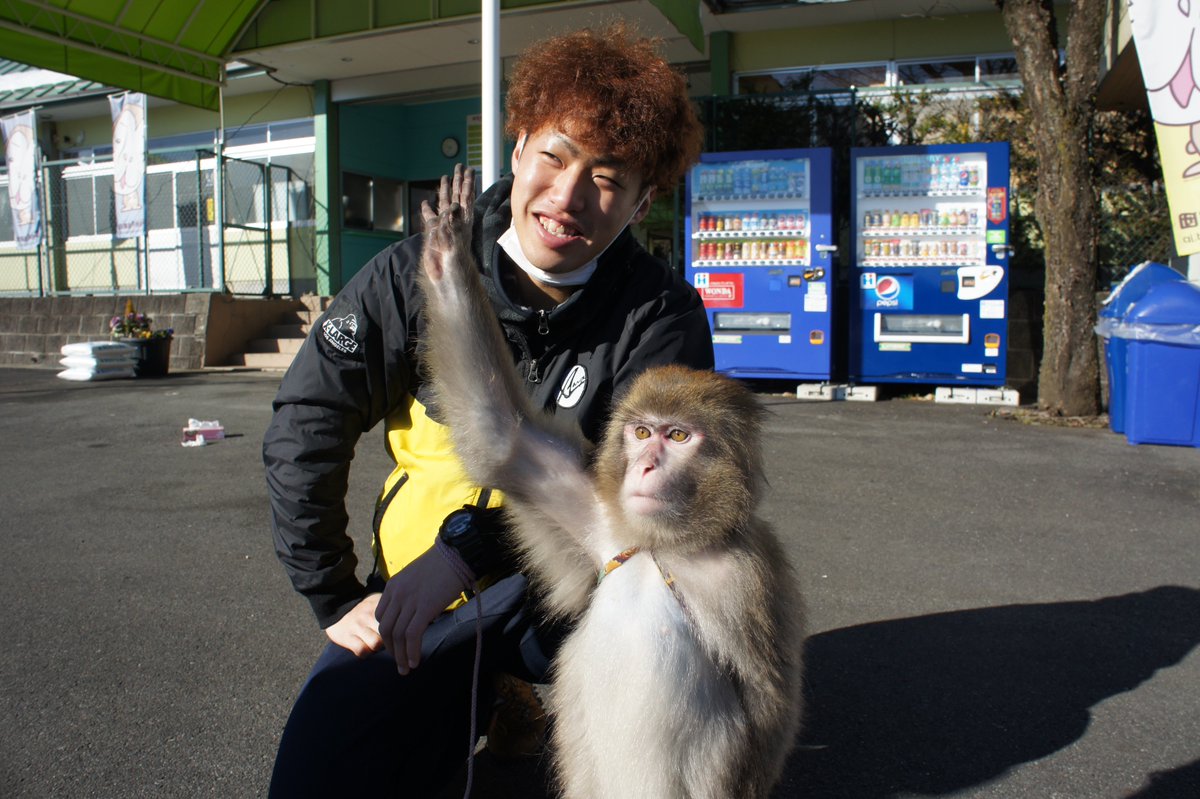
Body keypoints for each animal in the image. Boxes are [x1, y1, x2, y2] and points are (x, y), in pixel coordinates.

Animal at [417, 165, 805, 799]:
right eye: (641, 432)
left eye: (678, 437)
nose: (645, 466)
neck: (661, 547)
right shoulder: (602, 517)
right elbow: (499, 434)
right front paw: (448, 250)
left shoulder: (748, 580)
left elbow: (768, 703)